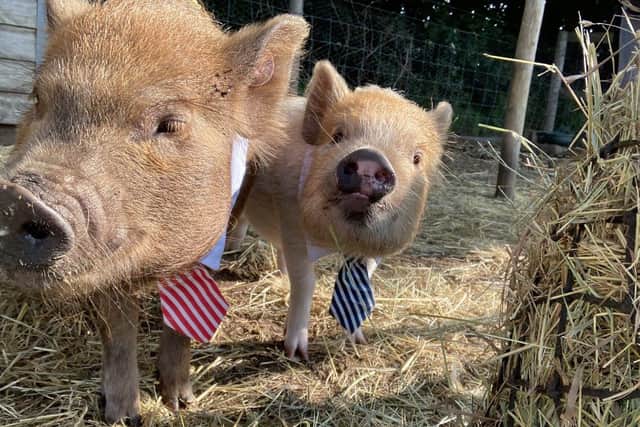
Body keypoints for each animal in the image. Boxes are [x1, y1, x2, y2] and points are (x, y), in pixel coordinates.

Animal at [0, 0, 308, 424]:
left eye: (170, 125)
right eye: (37, 98)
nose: (18, 197)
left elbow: (185, 314)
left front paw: (180, 402)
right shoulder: (110, 261)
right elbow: (118, 328)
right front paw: (122, 416)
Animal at [228, 61, 452, 360]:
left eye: (417, 157)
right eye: (337, 136)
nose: (370, 158)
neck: (342, 242)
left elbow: (362, 282)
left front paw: (358, 341)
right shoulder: (292, 222)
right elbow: (306, 281)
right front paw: (297, 354)